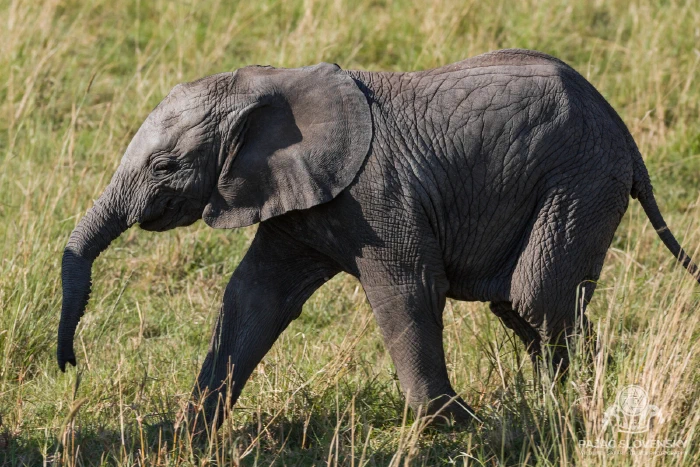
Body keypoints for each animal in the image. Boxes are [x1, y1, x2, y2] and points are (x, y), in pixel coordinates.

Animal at [57, 49, 700, 426]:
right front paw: (188, 436)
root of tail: (624, 133)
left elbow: (406, 291)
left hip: (581, 180)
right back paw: (561, 402)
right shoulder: (300, 196)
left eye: (164, 166)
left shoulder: (376, 192)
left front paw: (452, 426)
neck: (268, 81)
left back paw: (589, 403)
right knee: (524, 305)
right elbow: (253, 299)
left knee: (536, 295)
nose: (69, 366)